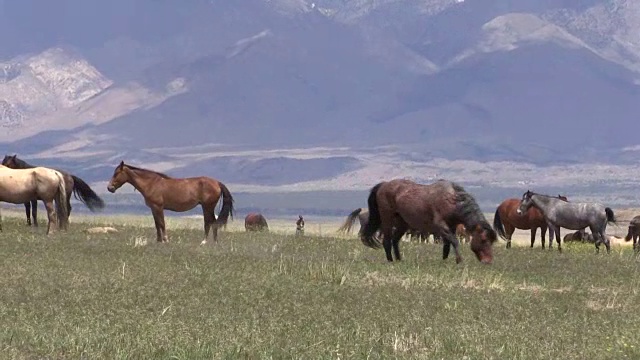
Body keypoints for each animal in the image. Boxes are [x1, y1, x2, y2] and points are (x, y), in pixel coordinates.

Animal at [106, 161, 234, 243]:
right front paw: (158, 241)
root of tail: (217, 183)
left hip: (207, 206)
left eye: (116, 173)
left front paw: (166, 240)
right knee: (213, 222)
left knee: (209, 222)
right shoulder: (153, 208)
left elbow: (162, 223)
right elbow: (157, 224)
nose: (109, 188)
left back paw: (204, 242)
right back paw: (214, 242)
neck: (151, 184)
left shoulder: (158, 207)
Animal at [358, 179, 498, 262]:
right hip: (387, 220)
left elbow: (447, 244)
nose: (488, 261)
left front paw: (444, 260)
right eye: (483, 240)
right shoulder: (440, 226)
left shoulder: (451, 227)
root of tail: (384, 184)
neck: (452, 201)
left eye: (491, 241)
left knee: (395, 240)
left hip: (403, 223)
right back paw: (391, 261)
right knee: (387, 241)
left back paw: (399, 260)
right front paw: (459, 260)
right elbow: (454, 241)